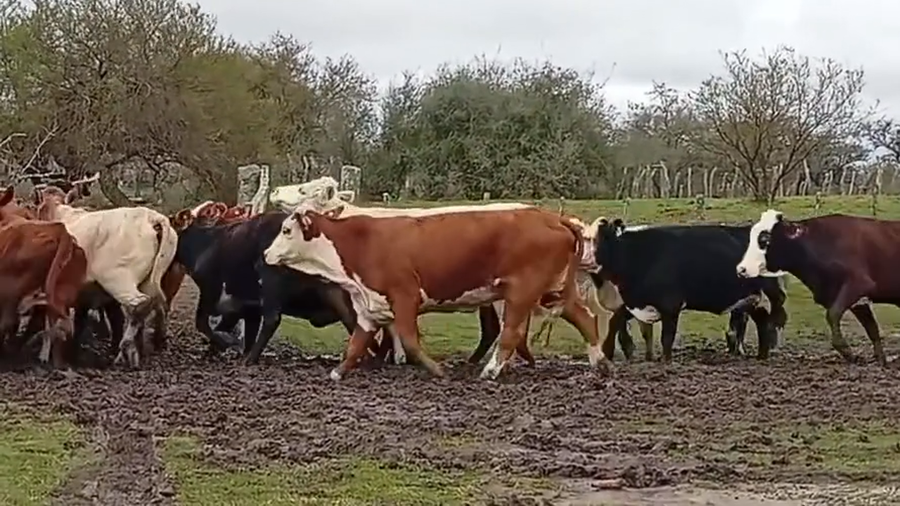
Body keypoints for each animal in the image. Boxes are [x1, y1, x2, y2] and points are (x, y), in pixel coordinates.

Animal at [36, 185, 178, 367]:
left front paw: (45, 355)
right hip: (149, 281)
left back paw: (126, 350)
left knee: (139, 305)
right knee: (156, 304)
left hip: (117, 279)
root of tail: (152, 218)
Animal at [263, 207, 611, 380]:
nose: (266, 254)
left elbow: (410, 340)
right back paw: (599, 362)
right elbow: (355, 344)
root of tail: (553, 217)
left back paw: (490, 371)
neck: (360, 243)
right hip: (553, 291)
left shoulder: (405, 296)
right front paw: (338, 372)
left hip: (521, 293)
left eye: (286, 231)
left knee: (511, 333)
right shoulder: (368, 306)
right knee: (585, 318)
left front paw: (438, 371)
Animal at [593, 219, 788, 362]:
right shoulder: (636, 303)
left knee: (770, 317)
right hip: (750, 298)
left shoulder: (670, 305)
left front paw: (665, 361)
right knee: (762, 319)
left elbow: (667, 337)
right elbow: (615, 321)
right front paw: (609, 352)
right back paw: (761, 356)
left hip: (767, 293)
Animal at [737, 210, 896, 365]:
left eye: (764, 240)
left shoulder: (858, 285)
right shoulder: (856, 300)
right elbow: (872, 328)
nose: (741, 269)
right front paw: (880, 360)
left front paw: (847, 351)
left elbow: (833, 314)